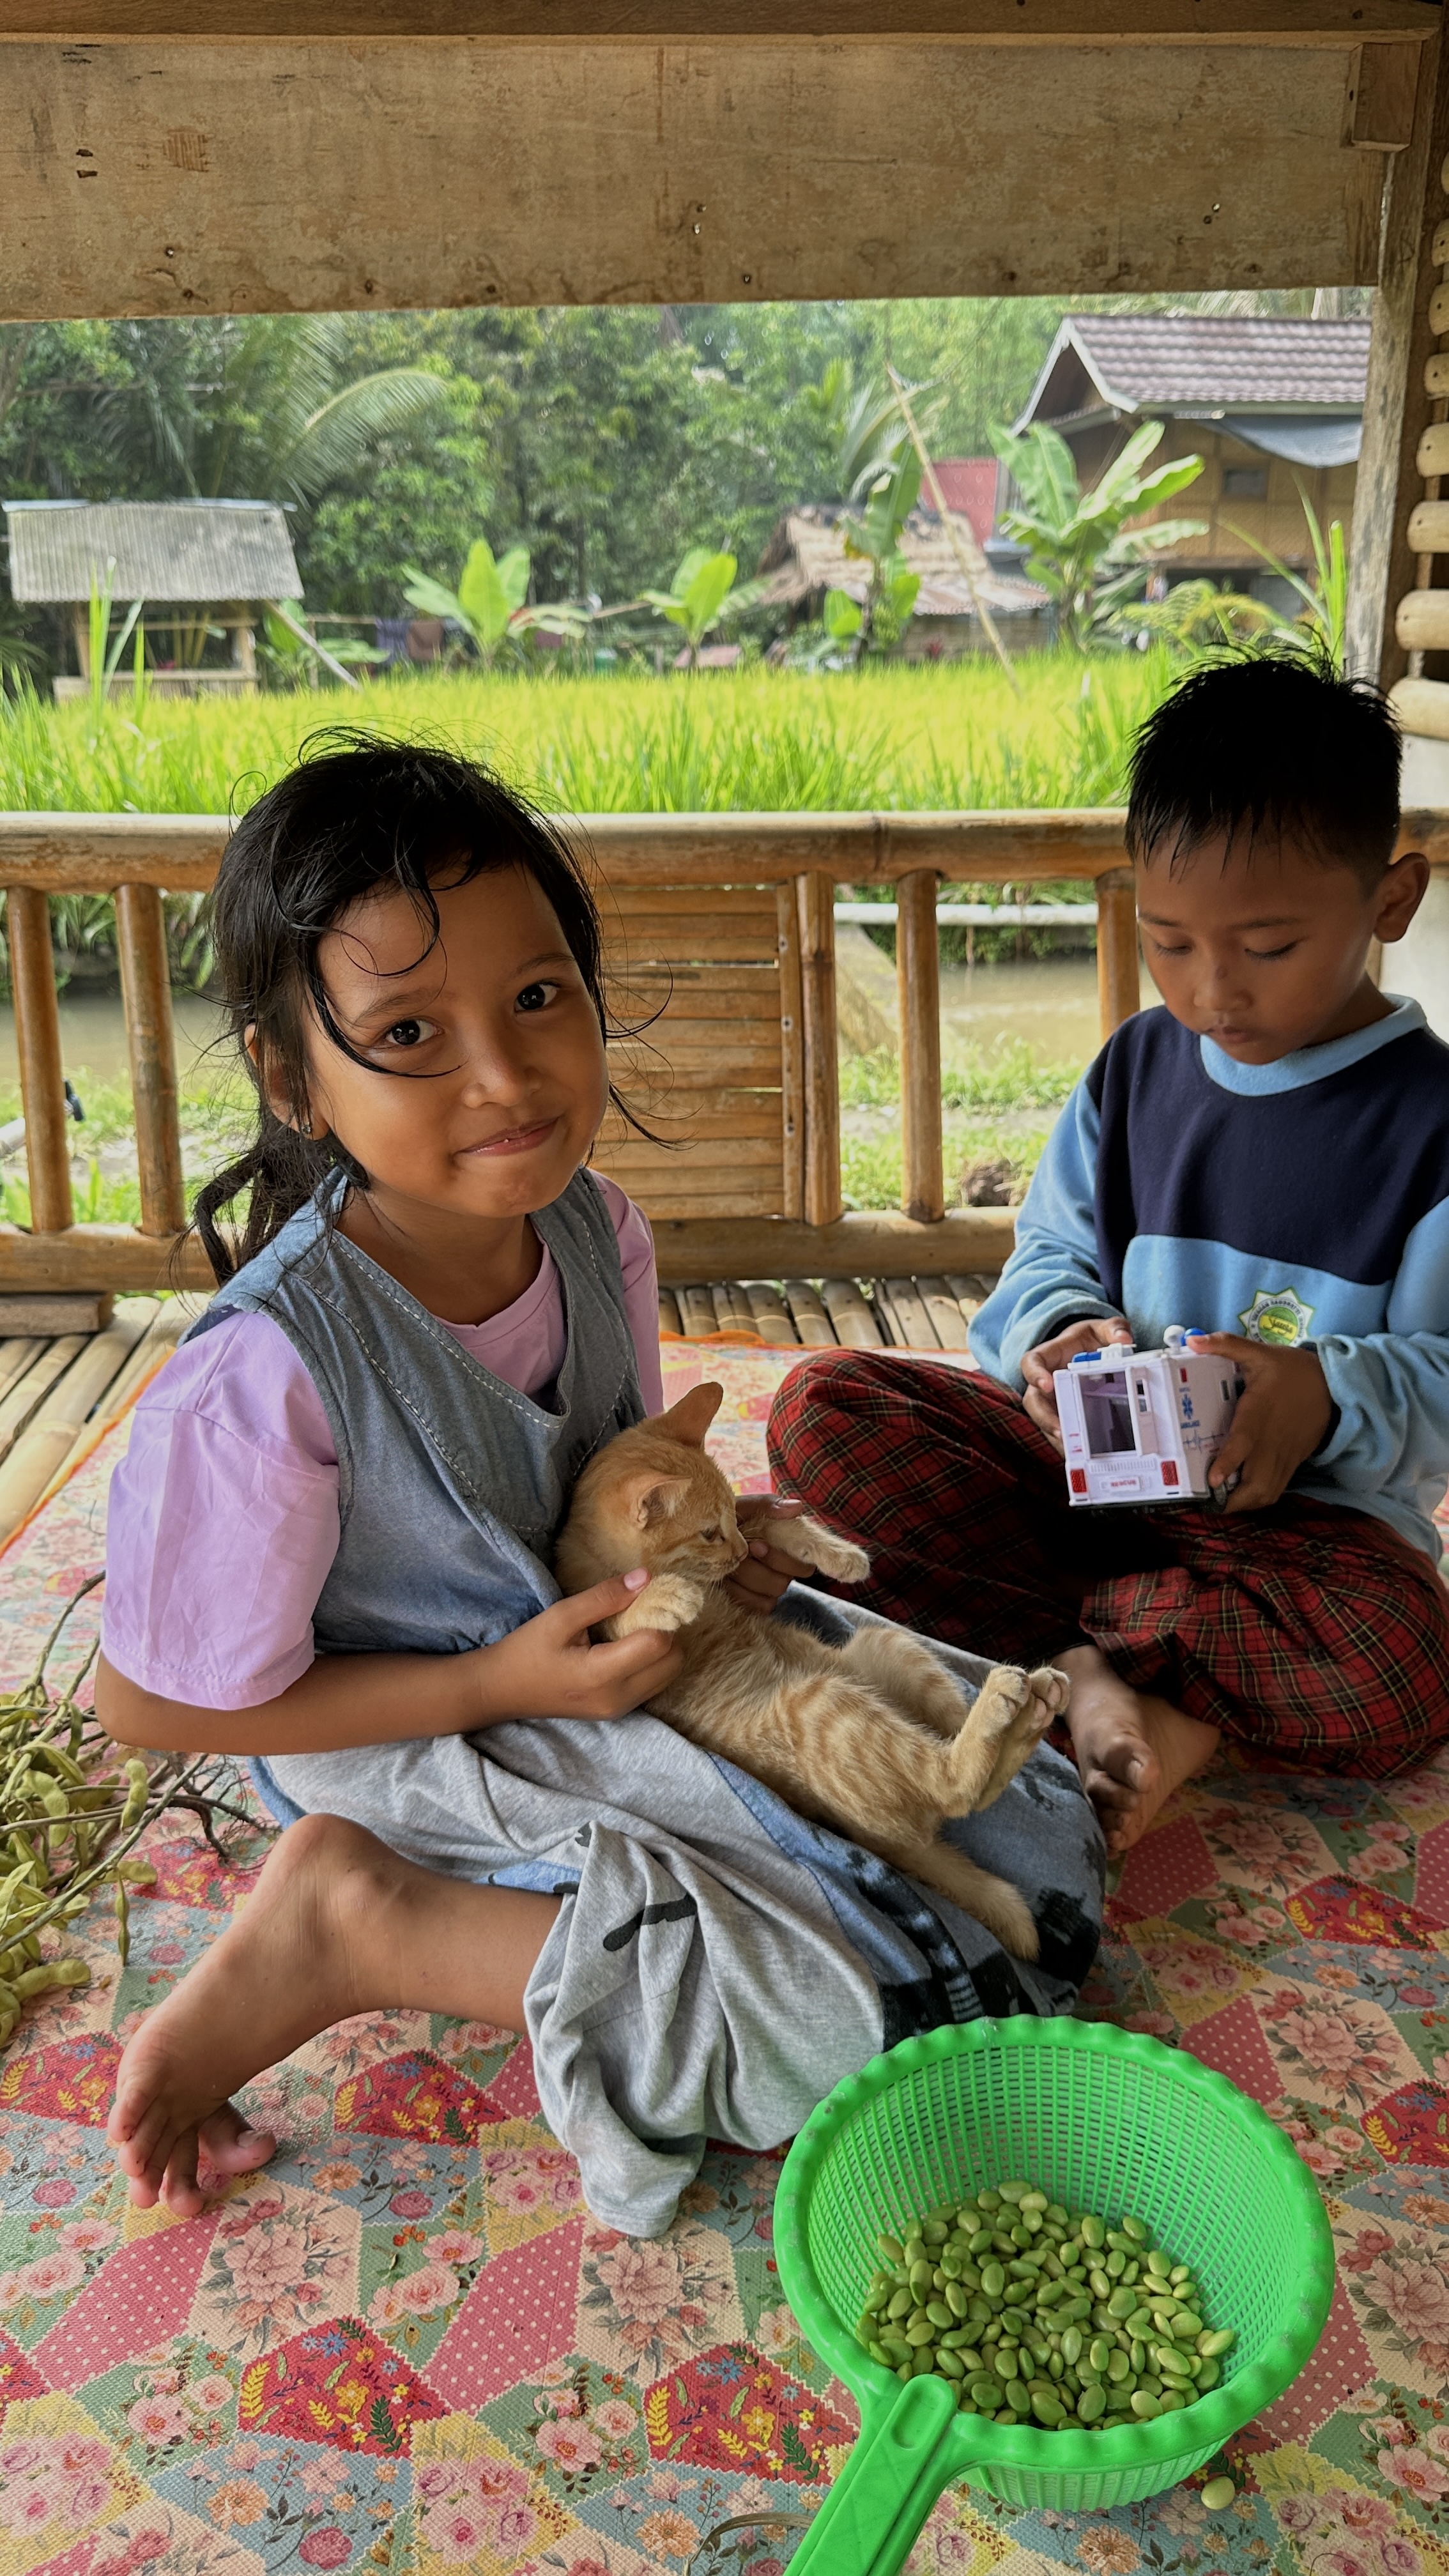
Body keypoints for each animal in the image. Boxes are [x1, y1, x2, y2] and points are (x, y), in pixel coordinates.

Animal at [555, 1381, 1069, 1958]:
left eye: (729, 1517)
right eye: (708, 1533)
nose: (737, 1551)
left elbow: (773, 1521)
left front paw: (836, 1554)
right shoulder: (597, 1626)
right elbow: (621, 1615)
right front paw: (664, 1596)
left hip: (888, 1649)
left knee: (956, 1756)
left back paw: (1030, 1701)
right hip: (828, 1706)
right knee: (955, 1790)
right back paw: (1008, 1701)